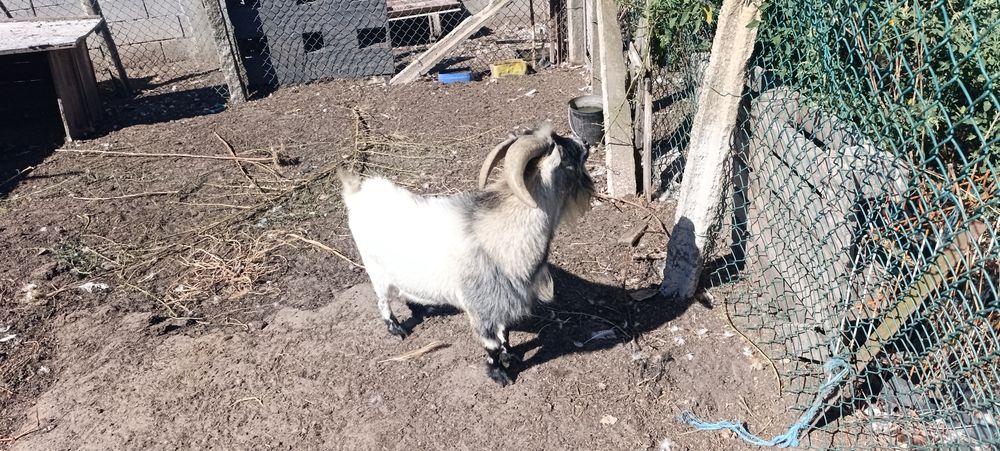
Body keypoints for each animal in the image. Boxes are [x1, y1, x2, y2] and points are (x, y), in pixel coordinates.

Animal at [338, 124, 594, 386]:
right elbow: (491, 345)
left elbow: (505, 333)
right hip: (375, 269)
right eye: (566, 153)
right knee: (383, 300)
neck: (497, 234)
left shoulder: (500, 302)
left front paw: (510, 355)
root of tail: (357, 193)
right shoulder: (481, 307)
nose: (585, 143)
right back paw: (397, 329)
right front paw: (500, 374)